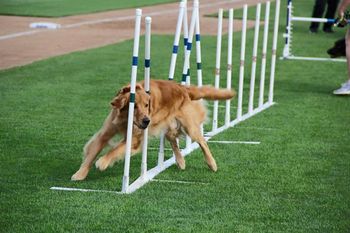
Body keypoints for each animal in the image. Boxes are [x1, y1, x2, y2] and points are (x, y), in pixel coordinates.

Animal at [71, 79, 235, 181]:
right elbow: (92, 153)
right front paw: (80, 174)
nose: (146, 121)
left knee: (202, 141)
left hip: (189, 127)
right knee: (173, 140)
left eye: (147, 105)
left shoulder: (134, 139)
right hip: (167, 125)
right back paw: (180, 161)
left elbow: (114, 150)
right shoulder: (106, 132)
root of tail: (183, 88)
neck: (125, 119)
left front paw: (103, 162)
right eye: (134, 106)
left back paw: (211, 164)